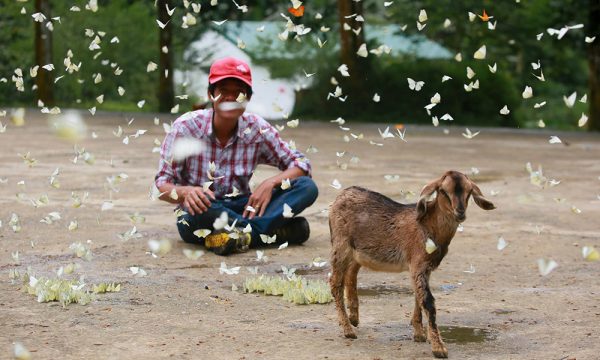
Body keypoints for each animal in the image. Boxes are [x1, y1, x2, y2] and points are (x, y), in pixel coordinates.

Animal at [330, 171, 494, 358]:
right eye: (443, 191)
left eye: (469, 192)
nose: (460, 212)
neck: (428, 226)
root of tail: (341, 195)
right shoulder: (417, 263)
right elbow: (427, 301)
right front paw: (439, 348)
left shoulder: (424, 267)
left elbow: (418, 295)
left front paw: (419, 333)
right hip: (341, 245)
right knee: (335, 282)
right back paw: (348, 329)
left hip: (358, 252)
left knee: (351, 273)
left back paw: (354, 317)